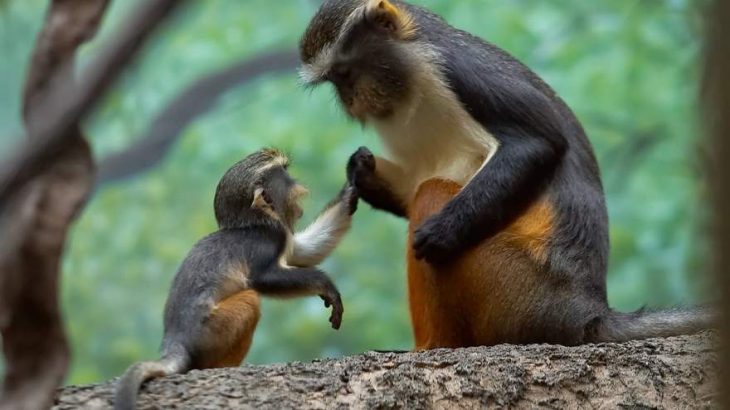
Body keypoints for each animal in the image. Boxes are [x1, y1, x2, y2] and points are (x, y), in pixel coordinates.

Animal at [114, 150, 356, 410]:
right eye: (284, 175)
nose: (298, 183)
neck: (254, 222)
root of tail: (175, 341)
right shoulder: (268, 239)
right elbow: (263, 279)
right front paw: (326, 285)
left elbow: (302, 251)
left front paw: (354, 182)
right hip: (210, 332)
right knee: (251, 299)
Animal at [298, 0, 708, 350]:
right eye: (336, 81)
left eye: (345, 72)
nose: (350, 100)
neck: (413, 74)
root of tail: (586, 313)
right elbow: (412, 180)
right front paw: (361, 169)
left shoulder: (458, 70)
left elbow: (536, 143)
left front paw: (441, 231)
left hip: (512, 290)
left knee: (431, 193)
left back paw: (433, 345)